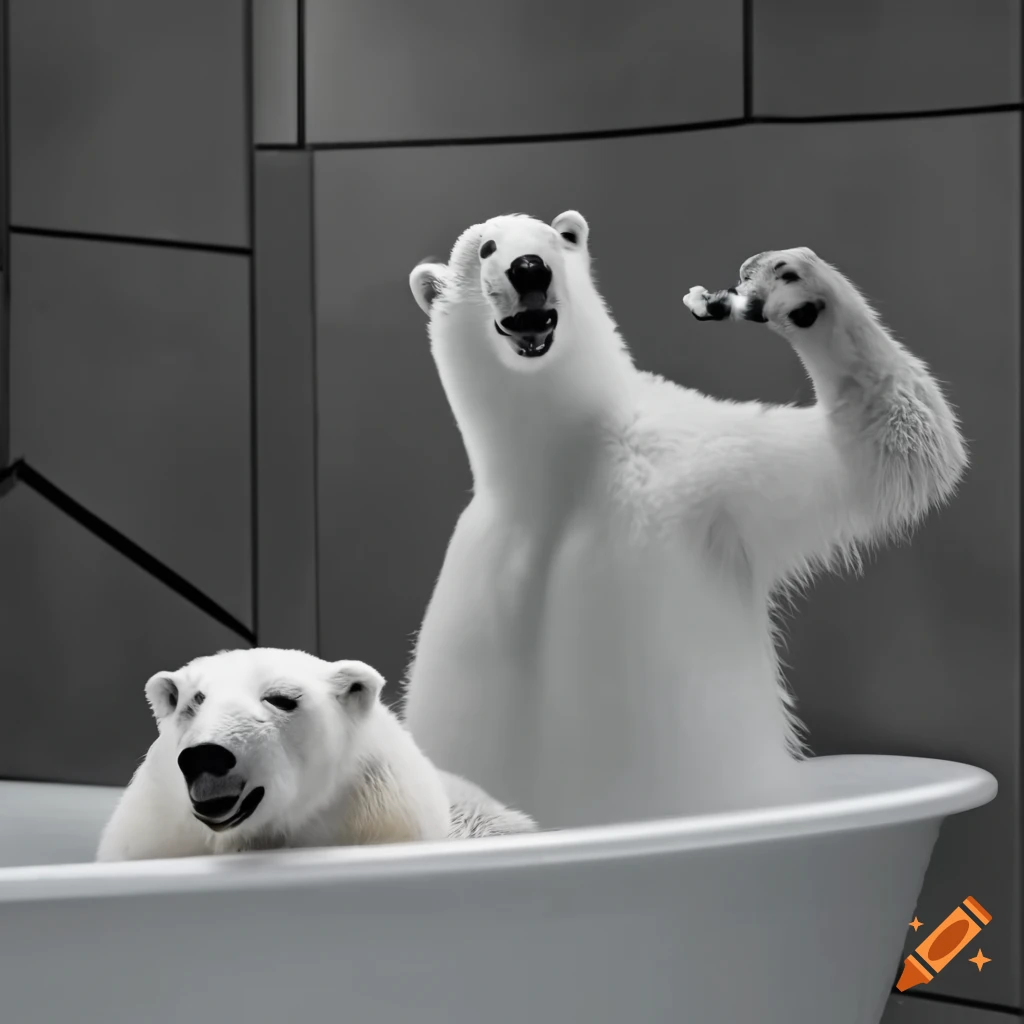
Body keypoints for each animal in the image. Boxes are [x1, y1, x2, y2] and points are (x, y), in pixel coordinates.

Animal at [403, 213, 967, 830]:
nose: (529, 267)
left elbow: (888, 456)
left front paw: (793, 286)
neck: (559, 472)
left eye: (552, 239)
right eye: (486, 248)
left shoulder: (703, 474)